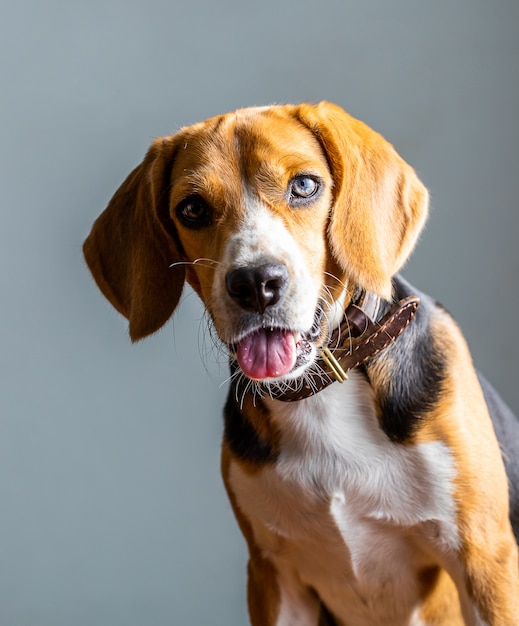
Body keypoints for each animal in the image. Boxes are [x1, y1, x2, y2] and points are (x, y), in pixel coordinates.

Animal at [83, 103, 516, 624]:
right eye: (192, 209)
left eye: (305, 185)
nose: (255, 283)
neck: (322, 390)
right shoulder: (274, 576)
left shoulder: (484, 560)